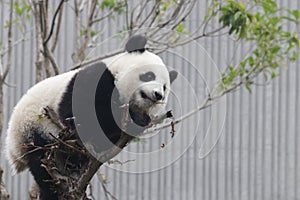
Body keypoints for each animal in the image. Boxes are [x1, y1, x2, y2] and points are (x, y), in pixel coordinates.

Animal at [4, 35, 177, 198]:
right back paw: (52, 190)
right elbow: (86, 113)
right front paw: (137, 118)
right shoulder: (92, 79)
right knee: (41, 162)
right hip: (34, 128)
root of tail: (13, 152)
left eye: (164, 87)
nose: (158, 95)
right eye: (149, 76)